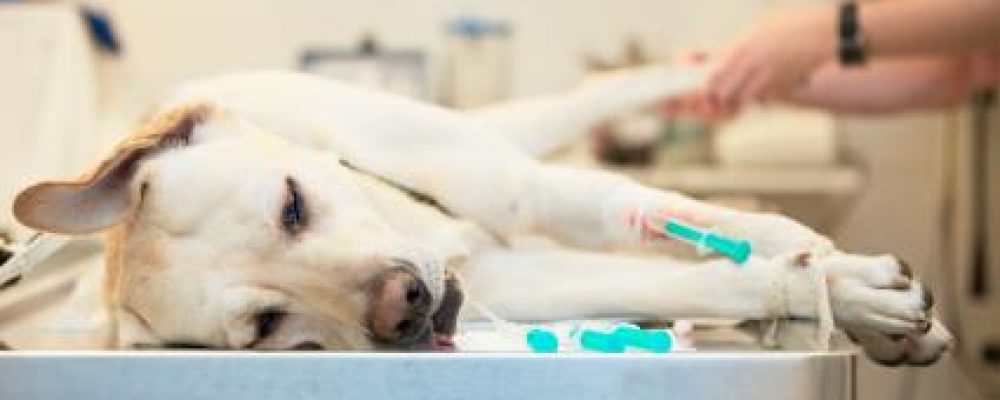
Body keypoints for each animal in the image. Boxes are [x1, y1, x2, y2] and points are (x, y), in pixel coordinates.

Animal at [9, 66, 951, 365]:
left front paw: (851, 284)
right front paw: (850, 301)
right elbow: (714, 281)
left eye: (291, 204)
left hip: (513, 142)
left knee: (611, 93)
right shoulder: (524, 278)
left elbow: (721, 229)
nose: (404, 308)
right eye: (268, 324)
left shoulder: (545, 196)